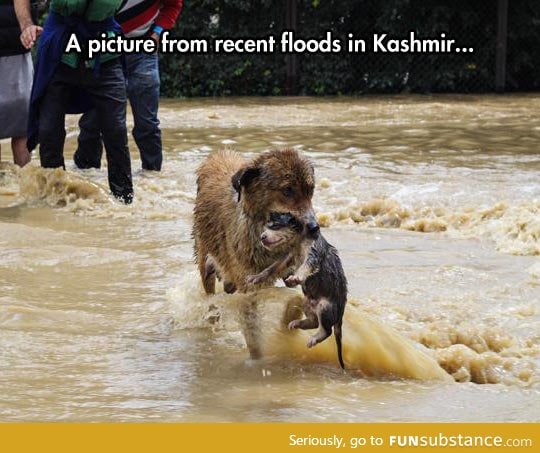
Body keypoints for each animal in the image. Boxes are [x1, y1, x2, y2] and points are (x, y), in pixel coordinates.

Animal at [247, 212, 348, 368]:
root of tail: (341, 314)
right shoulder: (288, 256)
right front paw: (256, 277)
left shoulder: (313, 253)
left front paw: (295, 278)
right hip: (306, 301)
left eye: (276, 226)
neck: (300, 240)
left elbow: (306, 266)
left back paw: (314, 339)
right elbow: (271, 268)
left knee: (326, 330)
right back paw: (297, 323)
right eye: (266, 226)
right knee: (314, 322)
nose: (262, 237)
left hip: (326, 306)